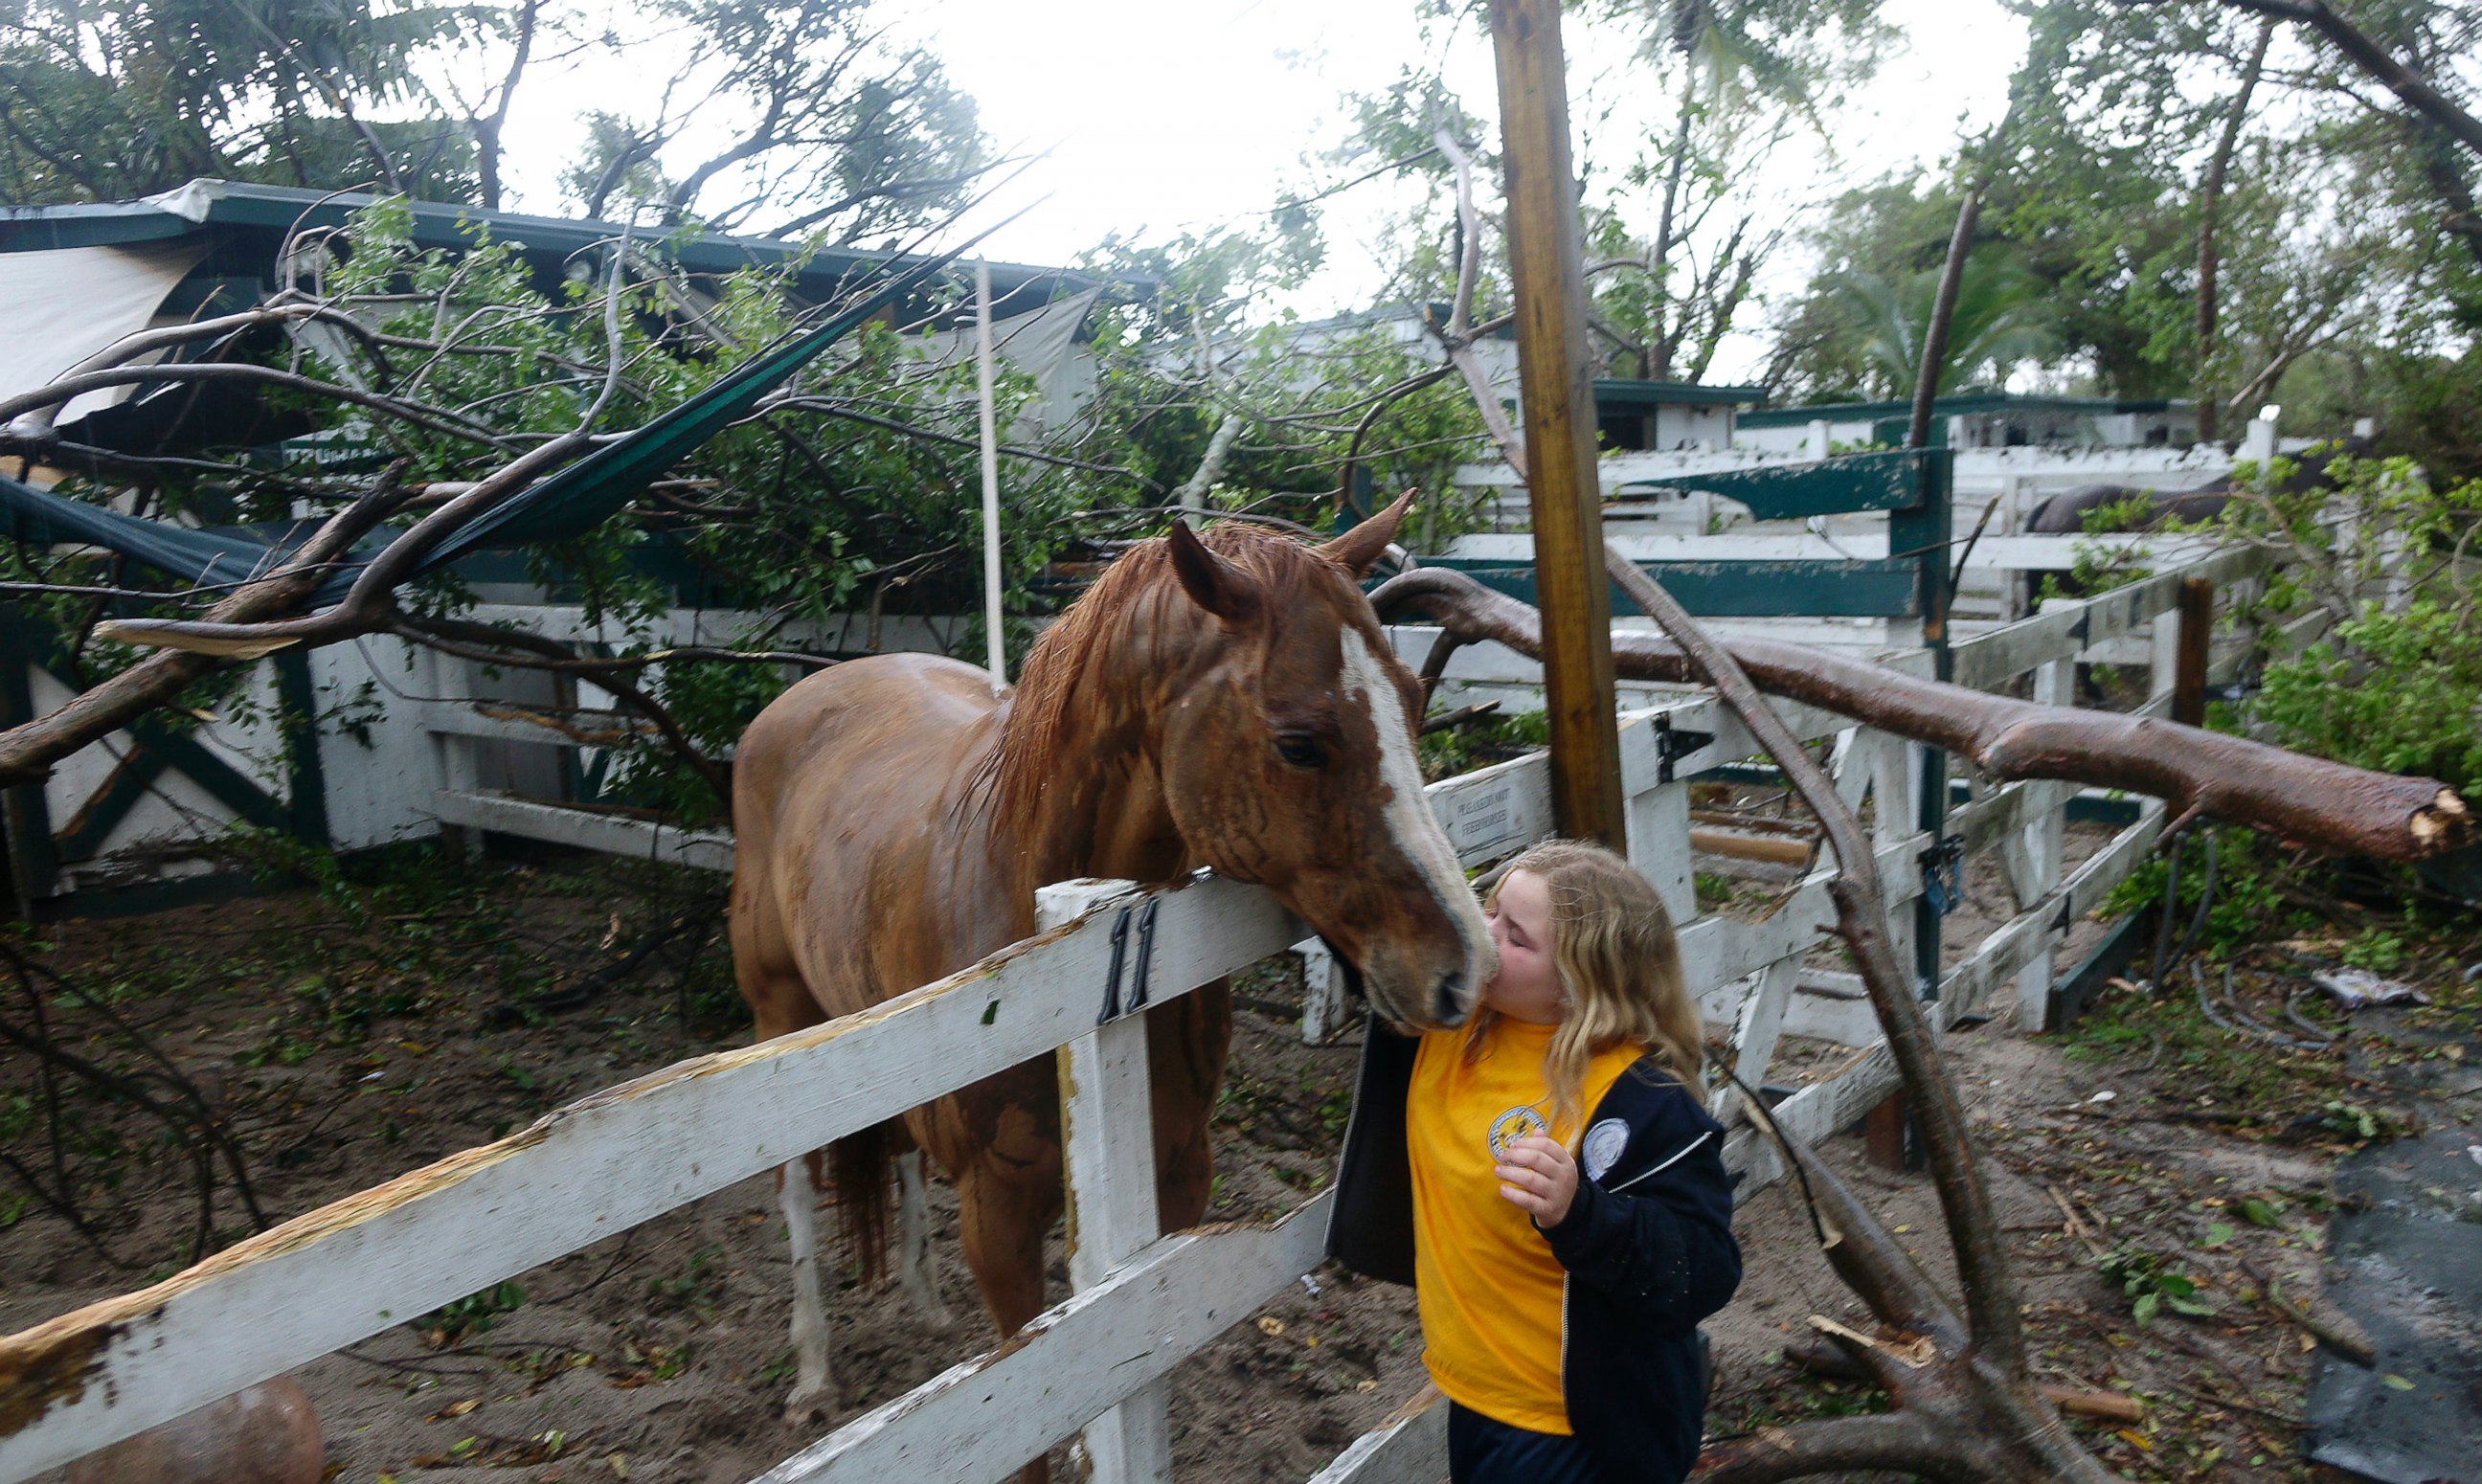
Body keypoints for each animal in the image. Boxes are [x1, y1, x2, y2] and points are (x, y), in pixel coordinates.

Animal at [719, 501, 1489, 1469]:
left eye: (1413, 703)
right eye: (1298, 744)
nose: (1465, 968)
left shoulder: (1175, 1183)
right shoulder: (1000, 1223)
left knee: (899, 1152)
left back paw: (925, 1304)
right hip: (781, 1017)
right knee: (794, 1189)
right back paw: (814, 1375)